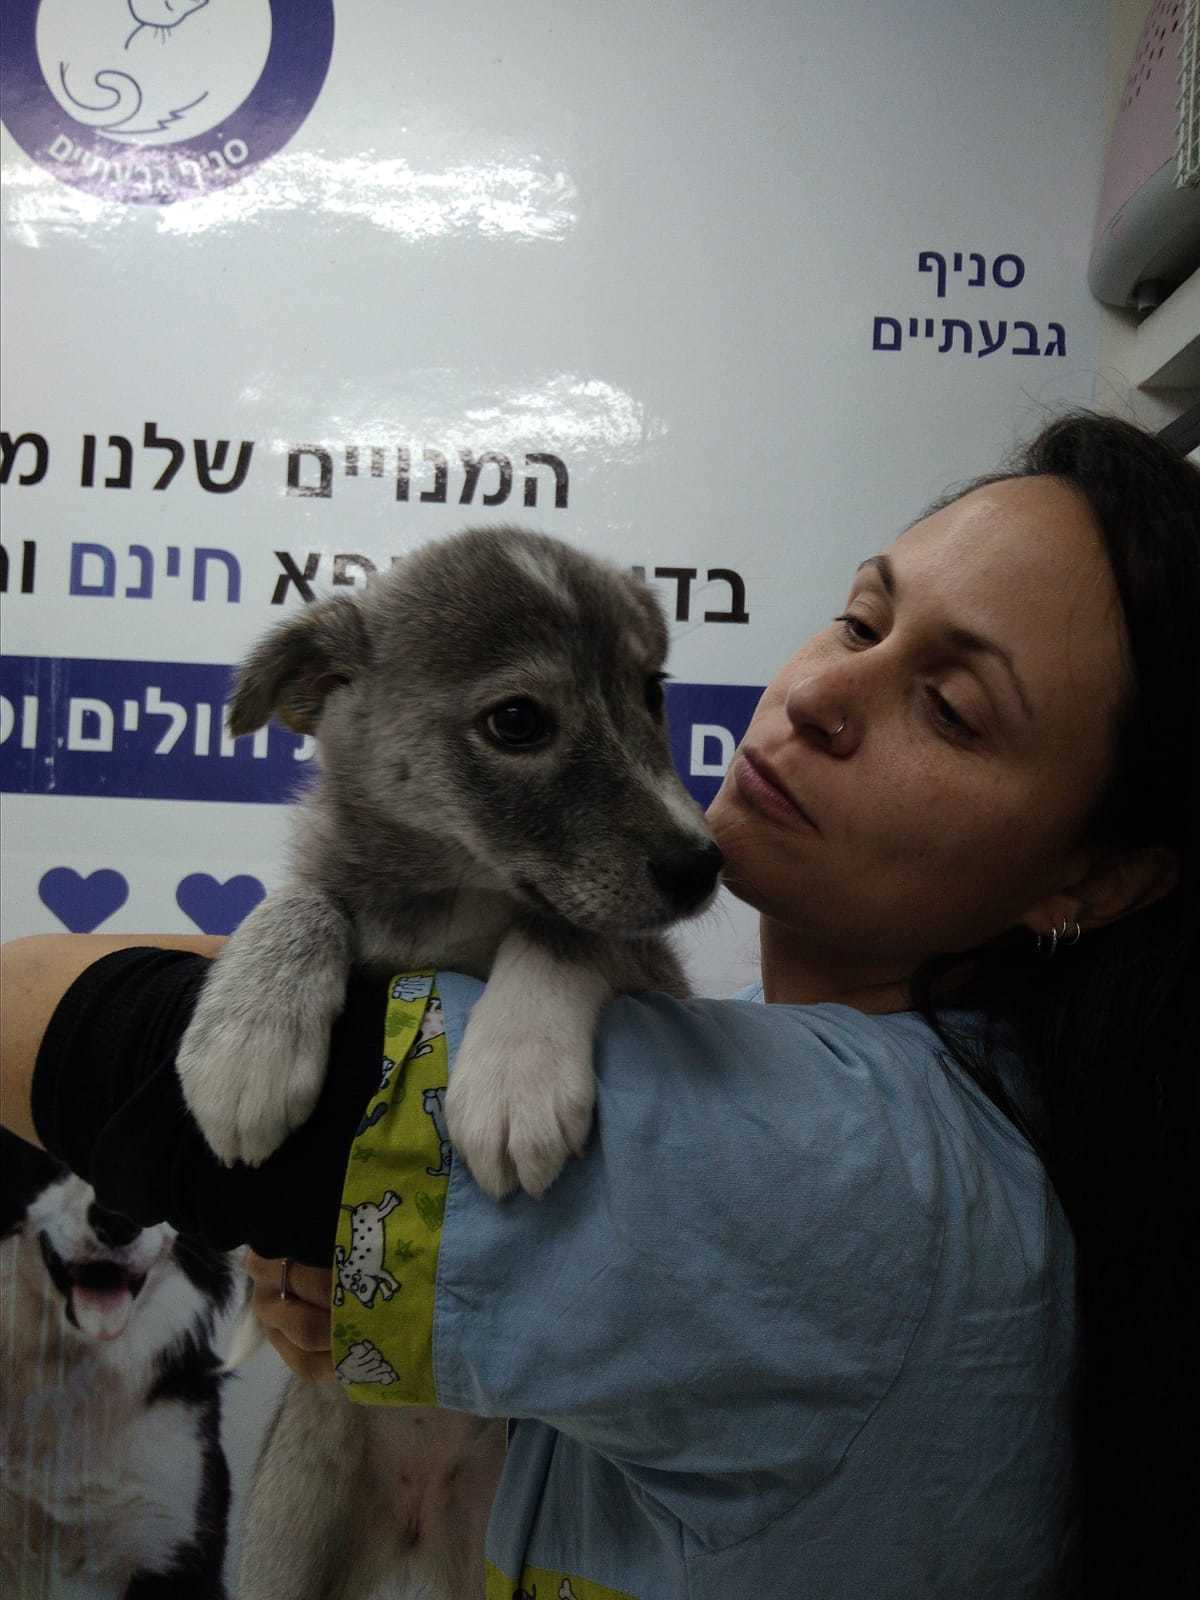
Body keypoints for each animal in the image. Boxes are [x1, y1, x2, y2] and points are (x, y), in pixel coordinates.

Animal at [175, 525, 722, 1599]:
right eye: (517, 721)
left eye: (651, 689)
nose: (702, 865)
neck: (459, 893)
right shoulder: (343, 891)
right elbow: (298, 900)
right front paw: (245, 1043)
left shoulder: (659, 974)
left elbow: (565, 931)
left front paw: (513, 1079)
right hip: (284, 1543)